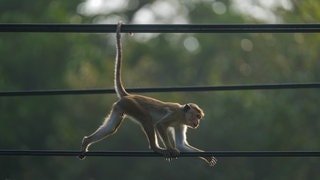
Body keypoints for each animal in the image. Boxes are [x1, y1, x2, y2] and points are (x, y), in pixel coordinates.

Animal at [79, 22, 216, 166]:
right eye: (196, 116)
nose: (197, 122)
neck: (182, 115)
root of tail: (128, 95)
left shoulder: (181, 124)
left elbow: (181, 145)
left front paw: (206, 156)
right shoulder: (175, 115)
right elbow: (160, 125)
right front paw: (170, 149)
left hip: (121, 106)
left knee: (111, 128)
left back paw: (86, 142)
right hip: (132, 105)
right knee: (147, 119)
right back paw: (156, 148)